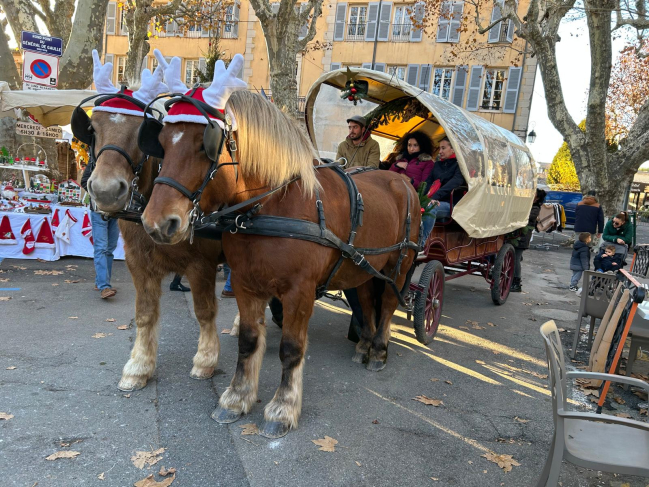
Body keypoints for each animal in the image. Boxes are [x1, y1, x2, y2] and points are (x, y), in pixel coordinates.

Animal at [84, 110, 225, 392]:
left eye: (140, 130)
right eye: (92, 128)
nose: (105, 191)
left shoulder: (201, 265)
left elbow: (204, 312)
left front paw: (205, 359)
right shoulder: (138, 264)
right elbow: (145, 314)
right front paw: (139, 366)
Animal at [139, 91, 418, 438]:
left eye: (204, 146)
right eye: (162, 142)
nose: (155, 223)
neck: (275, 203)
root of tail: (402, 181)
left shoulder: (300, 292)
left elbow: (291, 348)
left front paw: (283, 408)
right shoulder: (245, 283)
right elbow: (247, 341)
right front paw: (236, 398)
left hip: (400, 265)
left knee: (389, 303)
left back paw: (379, 349)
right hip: (363, 266)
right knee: (366, 299)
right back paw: (364, 345)